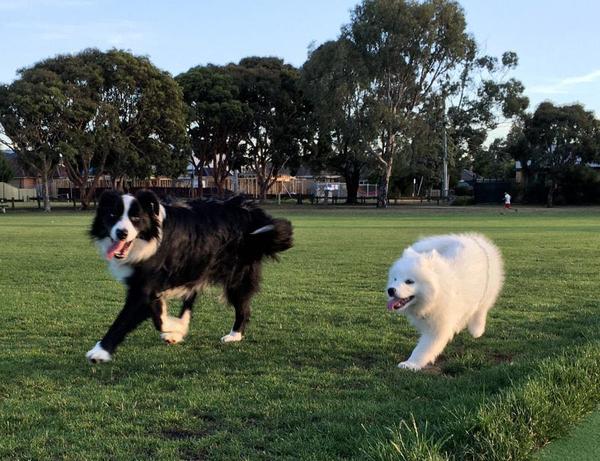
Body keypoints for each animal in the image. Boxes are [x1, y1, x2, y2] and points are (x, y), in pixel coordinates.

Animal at [386, 234, 504, 370]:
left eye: (409, 281)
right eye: (395, 279)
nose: (390, 290)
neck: (435, 295)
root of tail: (471, 238)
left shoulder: (438, 329)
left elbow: (422, 349)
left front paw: (411, 364)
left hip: (487, 291)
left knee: (482, 309)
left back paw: (476, 330)